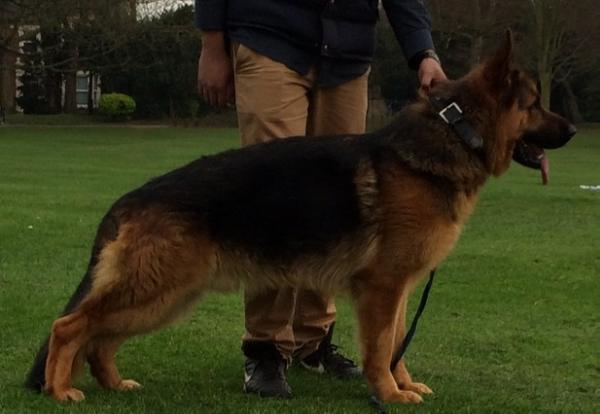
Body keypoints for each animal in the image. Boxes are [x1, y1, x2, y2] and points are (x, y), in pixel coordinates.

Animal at [25, 32, 575, 404]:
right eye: (535, 104)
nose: (571, 130)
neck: (456, 135)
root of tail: (130, 200)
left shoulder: (398, 288)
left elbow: (397, 342)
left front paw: (402, 384)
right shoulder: (382, 287)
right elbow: (382, 347)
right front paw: (388, 394)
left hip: (166, 296)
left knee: (99, 338)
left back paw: (113, 383)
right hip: (156, 287)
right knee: (69, 326)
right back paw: (59, 390)